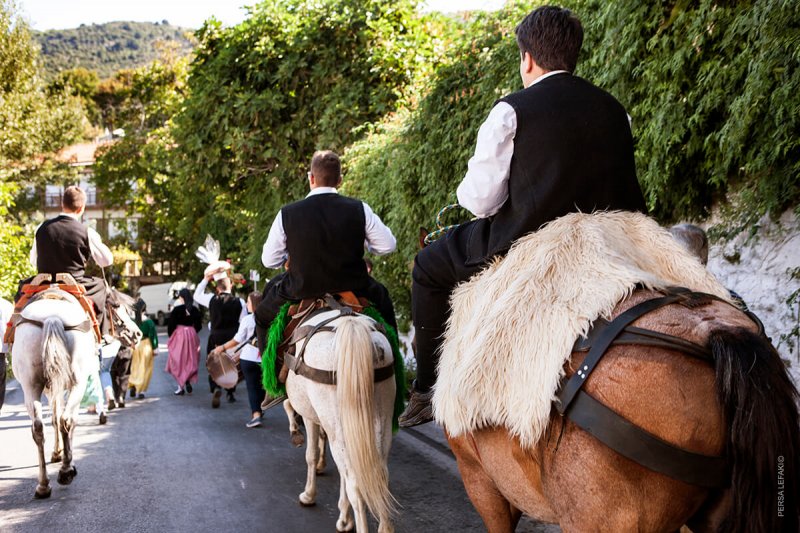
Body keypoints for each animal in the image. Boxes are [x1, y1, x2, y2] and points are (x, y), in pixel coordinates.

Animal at [11, 284, 98, 496]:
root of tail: (52, 317)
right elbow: (65, 419)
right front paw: (67, 459)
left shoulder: (52, 387)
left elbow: (54, 418)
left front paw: (58, 454)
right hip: (78, 383)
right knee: (67, 419)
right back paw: (65, 471)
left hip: (31, 384)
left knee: (38, 426)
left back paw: (43, 485)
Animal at [288, 310, 400, 528]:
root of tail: (352, 326)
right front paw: (344, 515)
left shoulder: (309, 416)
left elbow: (311, 454)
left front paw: (309, 495)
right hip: (380, 421)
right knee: (380, 477)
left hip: (338, 427)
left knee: (356, 487)